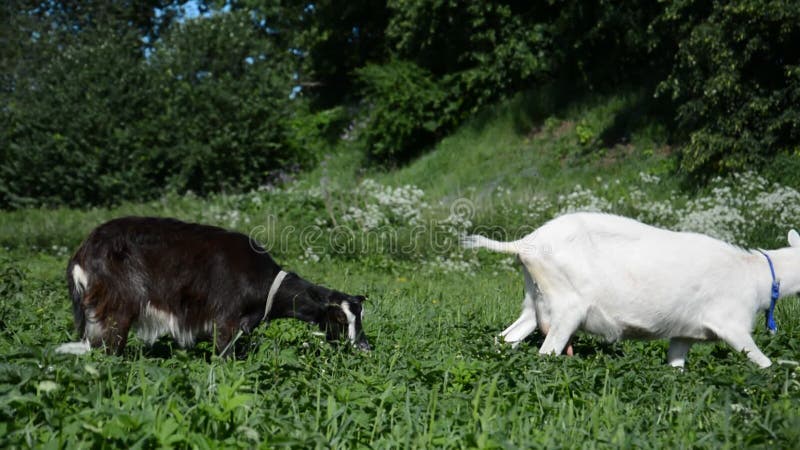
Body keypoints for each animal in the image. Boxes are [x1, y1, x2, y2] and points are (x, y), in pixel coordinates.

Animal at [462, 213, 800, 368]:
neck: (755, 273)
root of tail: (525, 243)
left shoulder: (684, 333)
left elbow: (676, 366)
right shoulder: (732, 324)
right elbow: (763, 362)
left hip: (535, 302)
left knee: (506, 338)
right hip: (567, 308)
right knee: (546, 352)